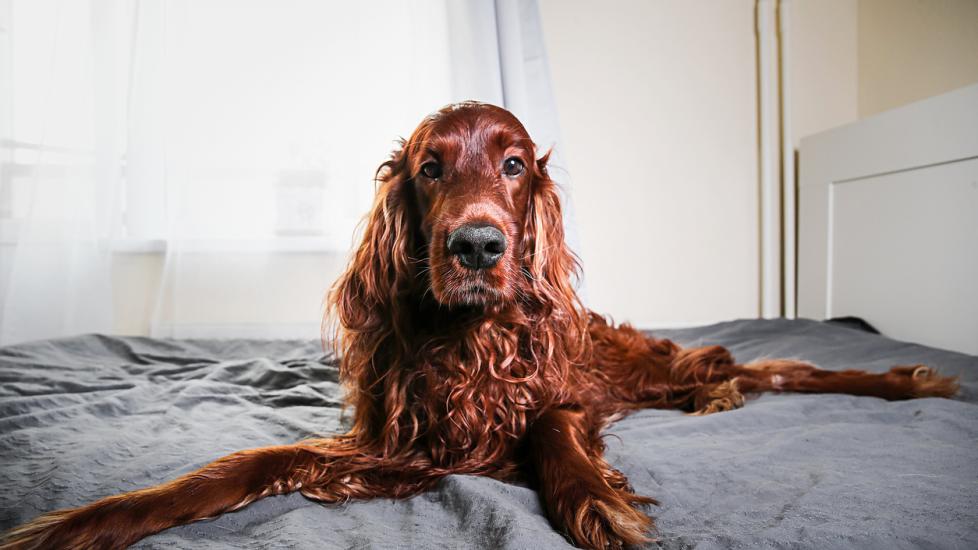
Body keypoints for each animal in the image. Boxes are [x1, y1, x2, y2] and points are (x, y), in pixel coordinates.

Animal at [0, 101, 956, 548]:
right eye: (429, 167)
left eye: (514, 165)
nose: (477, 245)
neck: (467, 342)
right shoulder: (395, 441)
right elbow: (245, 464)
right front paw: (89, 520)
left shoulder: (561, 397)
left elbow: (555, 437)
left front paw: (598, 502)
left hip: (645, 366)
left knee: (772, 368)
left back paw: (902, 378)